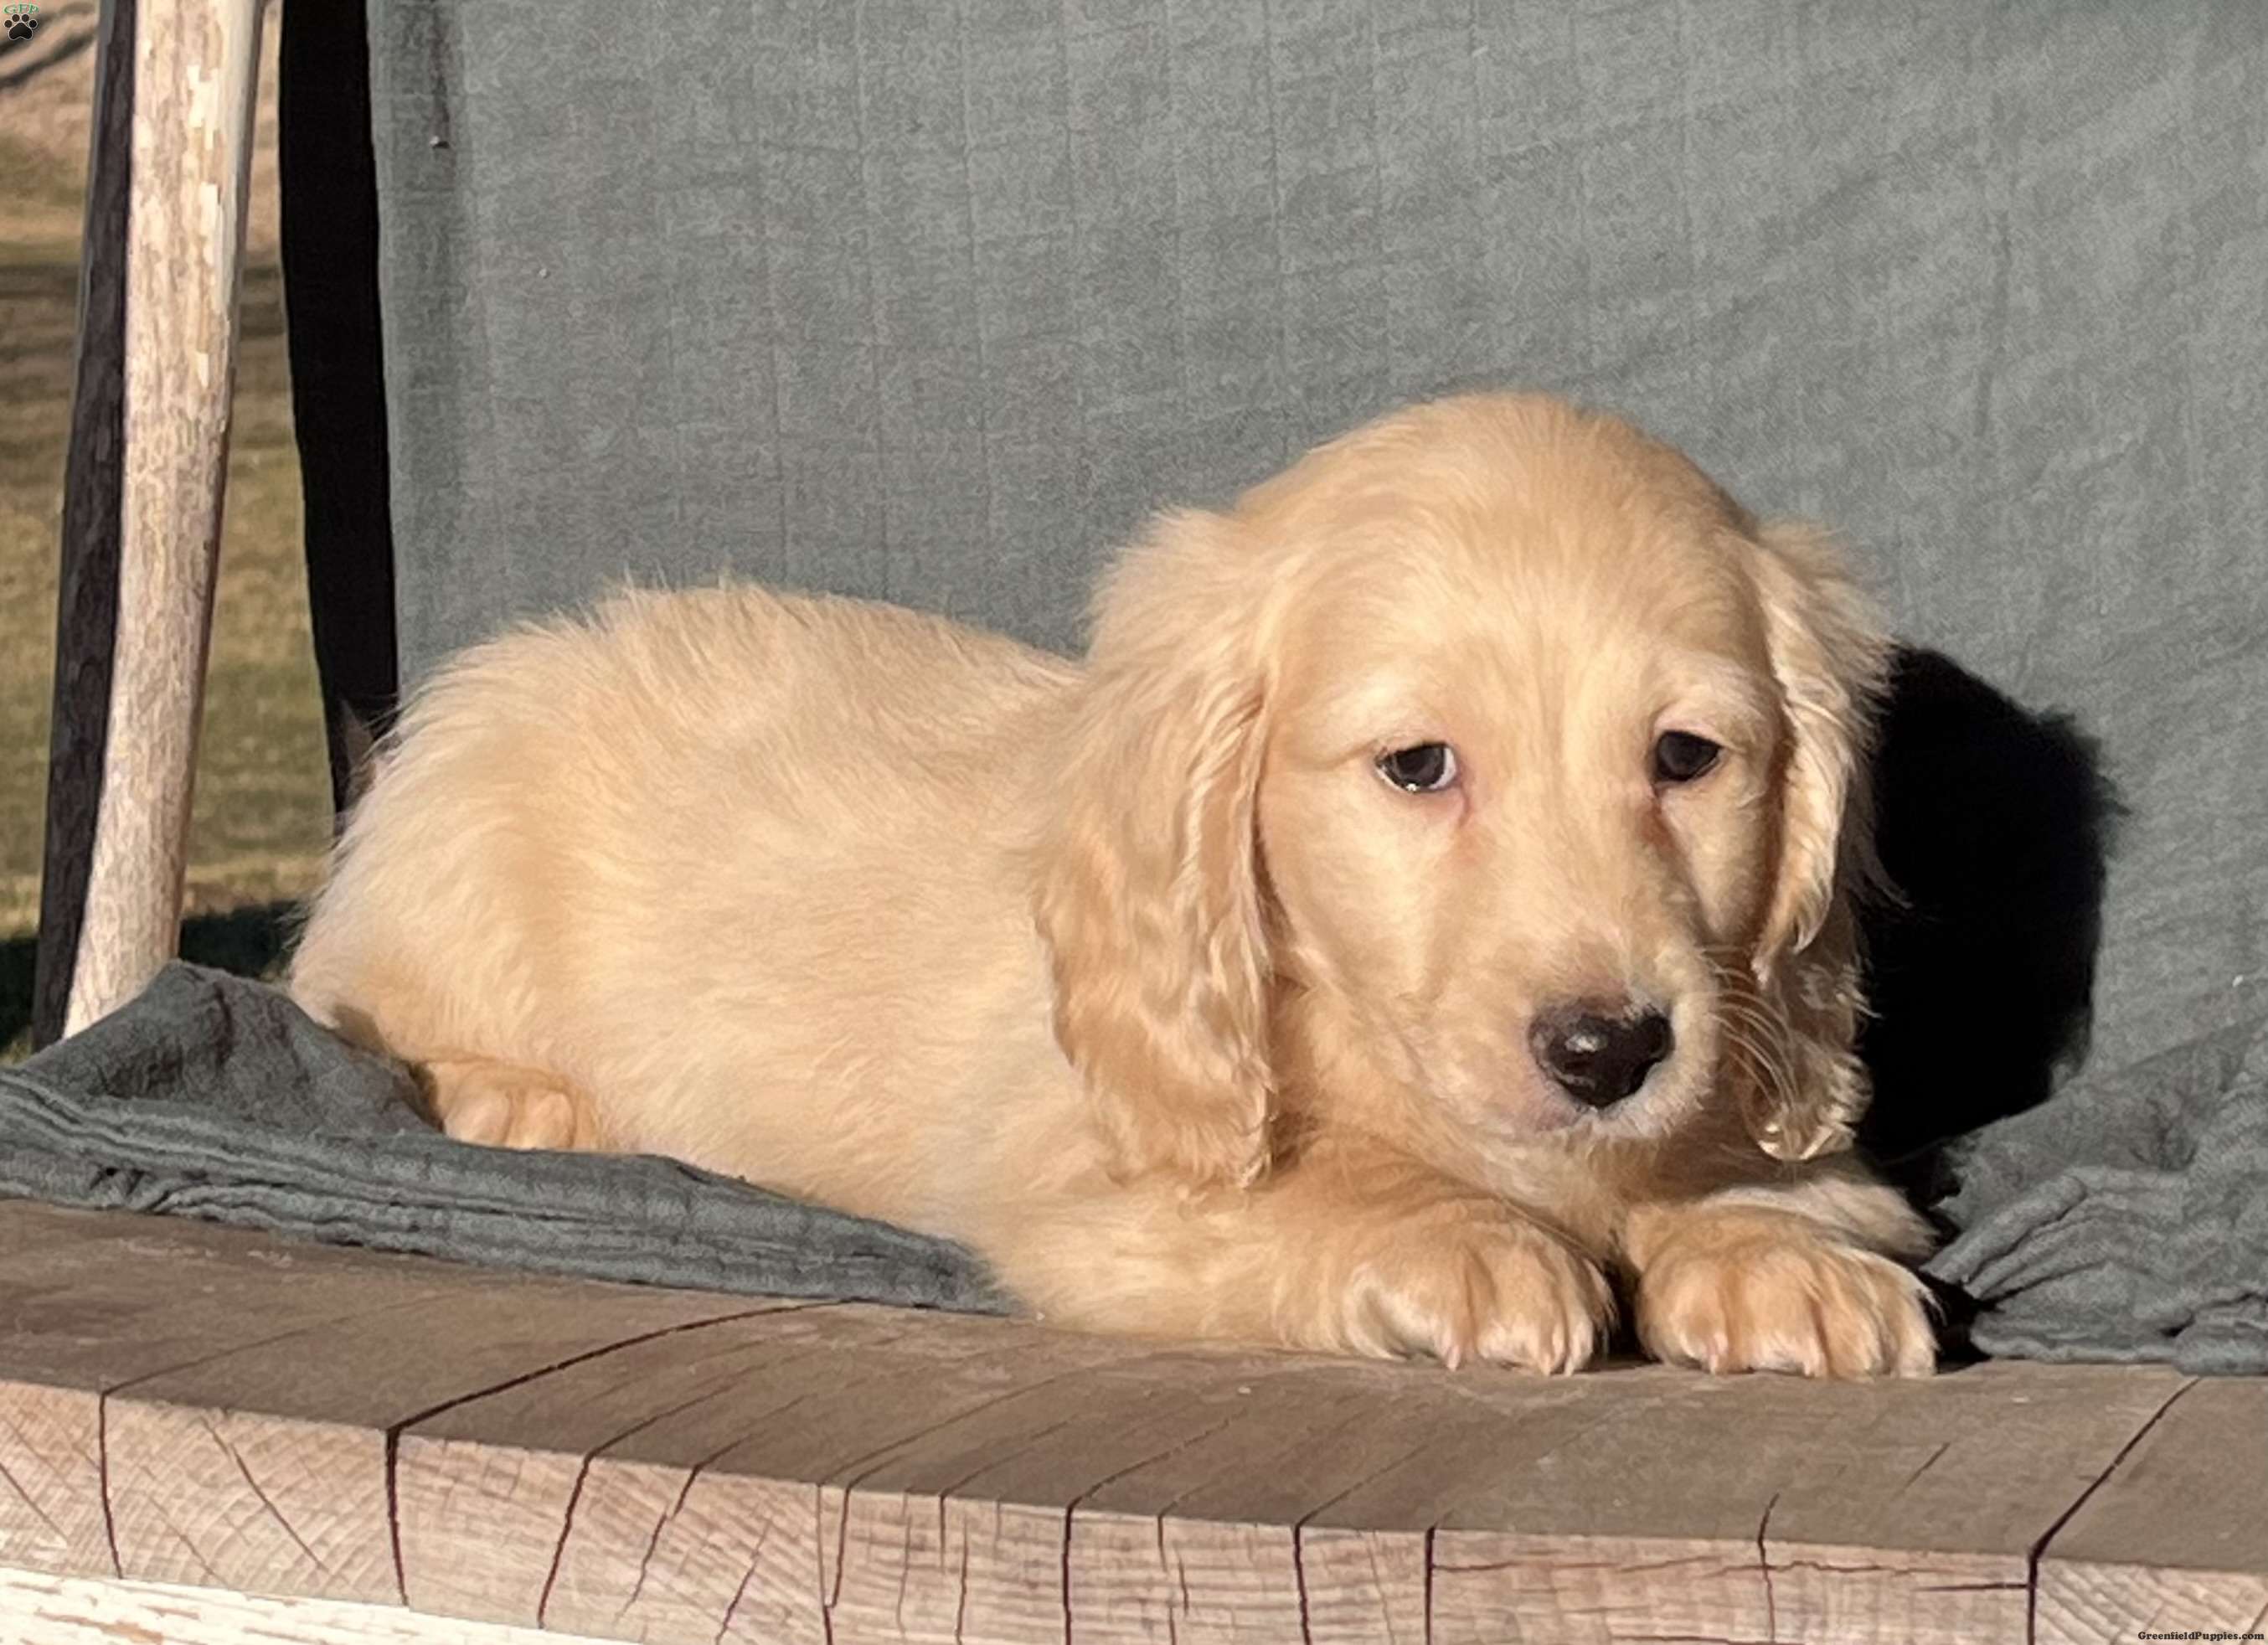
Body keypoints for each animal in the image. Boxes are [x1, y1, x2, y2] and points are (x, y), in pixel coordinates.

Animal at [289, 392, 1936, 1377]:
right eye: (1418, 766)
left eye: (1685, 756)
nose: (1608, 1051)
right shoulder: (1081, 1183)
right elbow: (1304, 1186)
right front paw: (1460, 1238)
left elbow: (1760, 1183)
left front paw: (1772, 1252)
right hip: (451, 842)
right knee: (347, 999)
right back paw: (515, 1094)